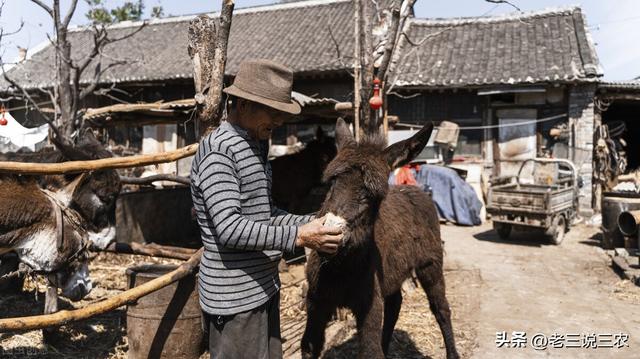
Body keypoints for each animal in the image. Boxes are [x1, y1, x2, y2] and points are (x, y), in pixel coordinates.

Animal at [302, 120, 458, 359]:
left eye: (373, 195)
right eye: (332, 183)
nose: (330, 235)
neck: (340, 268)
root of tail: (416, 190)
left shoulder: (369, 304)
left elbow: (369, 350)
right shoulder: (316, 303)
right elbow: (309, 347)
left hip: (430, 265)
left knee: (440, 308)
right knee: (395, 305)